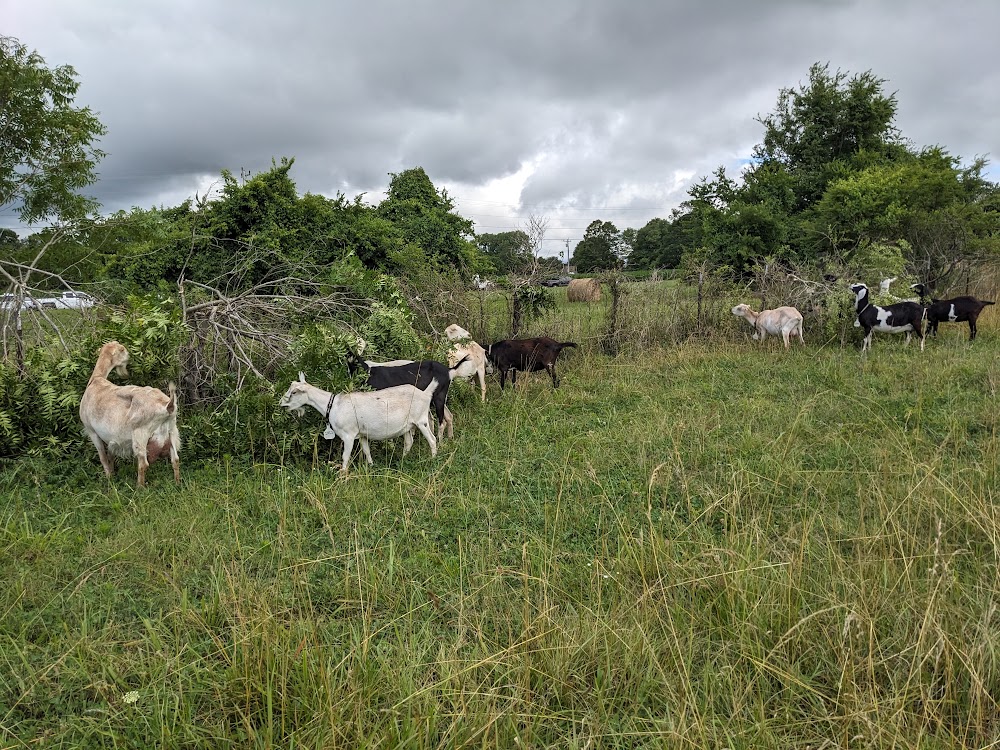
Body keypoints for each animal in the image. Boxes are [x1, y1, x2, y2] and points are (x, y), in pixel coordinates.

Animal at [79, 340, 181, 488]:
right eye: (122, 349)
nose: (130, 357)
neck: (96, 380)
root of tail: (168, 406)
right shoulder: (110, 439)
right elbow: (110, 456)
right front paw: (112, 475)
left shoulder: (92, 431)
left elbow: (103, 458)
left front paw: (109, 479)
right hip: (172, 431)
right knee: (175, 459)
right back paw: (177, 483)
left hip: (141, 434)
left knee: (143, 464)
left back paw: (139, 488)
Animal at [280, 374, 440, 472]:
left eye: (294, 392)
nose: (281, 403)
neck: (334, 405)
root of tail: (425, 393)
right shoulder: (362, 434)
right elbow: (366, 450)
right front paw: (371, 466)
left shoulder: (348, 435)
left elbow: (345, 456)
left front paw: (343, 474)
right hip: (408, 426)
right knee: (408, 442)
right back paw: (402, 460)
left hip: (421, 421)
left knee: (432, 440)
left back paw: (432, 460)